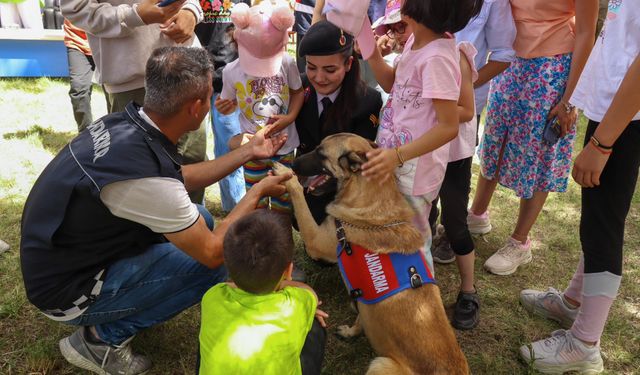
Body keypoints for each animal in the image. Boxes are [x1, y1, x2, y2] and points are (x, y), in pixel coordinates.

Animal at [272, 134, 468, 374]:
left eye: (320, 153)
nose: (294, 164)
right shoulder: (363, 298)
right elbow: (361, 316)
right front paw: (352, 331)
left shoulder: (315, 240)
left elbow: (299, 198)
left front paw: (285, 176)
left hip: (381, 363)